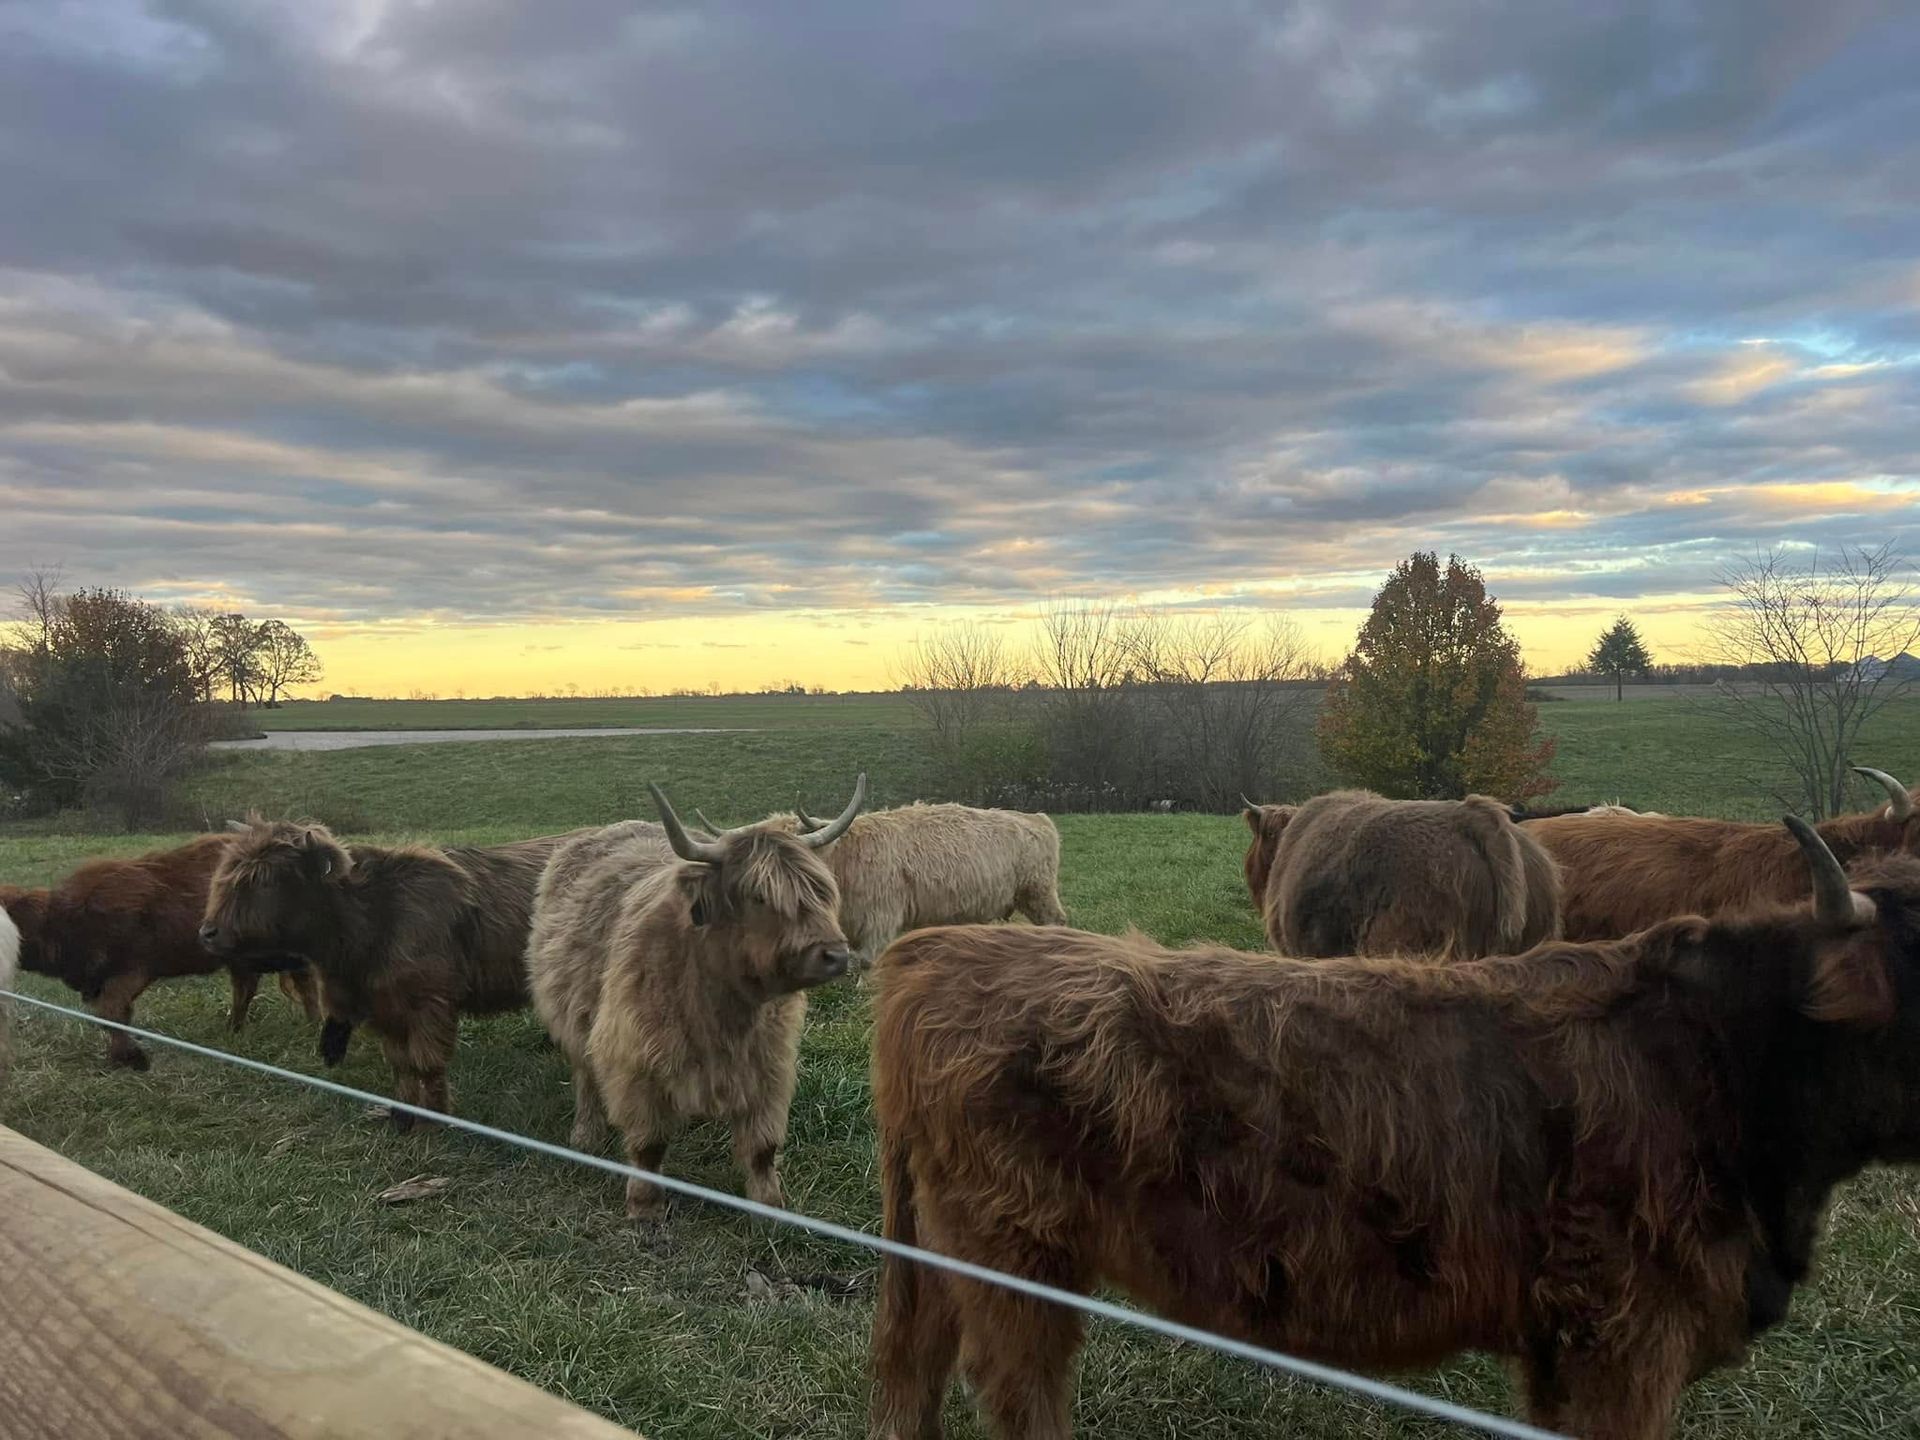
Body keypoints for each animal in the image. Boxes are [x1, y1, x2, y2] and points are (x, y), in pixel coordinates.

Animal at [0, 837, 320, 1070]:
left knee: (304, 983)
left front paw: (132, 1059)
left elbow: (112, 1011)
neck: (62, 923)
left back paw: (313, 1027)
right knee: (247, 986)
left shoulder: (133, 969)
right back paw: (234, 1028)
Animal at [200, 821, 578, 1129]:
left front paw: (434, 1119)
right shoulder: (385, 1007)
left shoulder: (428, 1002)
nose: (207, 932)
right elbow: (400, 1064)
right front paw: (402, 1116)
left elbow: (426, 1063)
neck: (370, 918)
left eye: (264, 880)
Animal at [528, 776, 864, 1218]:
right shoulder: (634, 1060)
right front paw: (644, 1206)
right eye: (759, 896)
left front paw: (770, 1205)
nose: (836, 955)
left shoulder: (769, 1066)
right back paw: (585, 1134)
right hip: (572, 1015)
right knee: (584, 1073)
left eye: (821, 890)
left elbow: (762, 1146)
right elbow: (648, 1145)